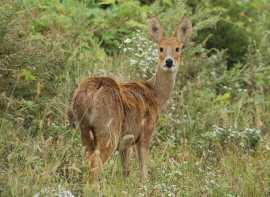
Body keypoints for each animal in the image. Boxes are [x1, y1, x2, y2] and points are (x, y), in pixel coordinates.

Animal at [69, 16, 192, 182]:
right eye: (160, 48)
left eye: (178, 48)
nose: (169, 61)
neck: (155, 94)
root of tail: (90, 91)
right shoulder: (145, 131)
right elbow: (143, 170)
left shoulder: (126, 142)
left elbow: (126, 170)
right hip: (109, 129)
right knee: (96, 162)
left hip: (84, 128)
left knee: (88, 158)